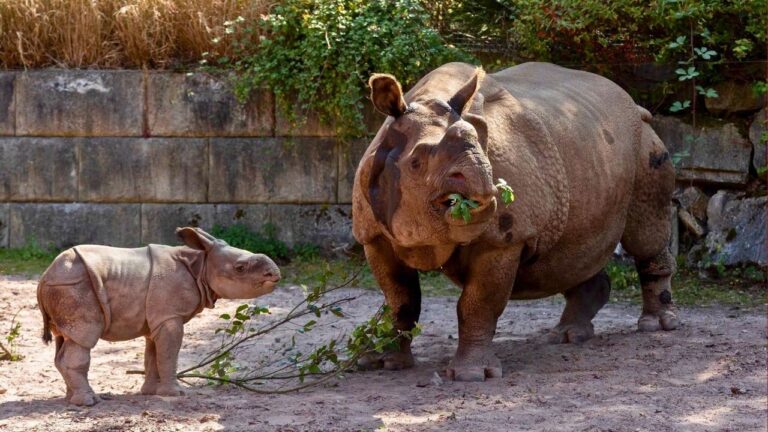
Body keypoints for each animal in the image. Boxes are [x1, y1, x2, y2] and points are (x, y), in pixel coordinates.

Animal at [37, 227, 281, 405]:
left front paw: (151, 393)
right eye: (240, 268)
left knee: (66, 338)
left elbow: (153, 355)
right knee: (84, 338)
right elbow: (169, 354)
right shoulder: (169, 317)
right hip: (73, 285)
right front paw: (175, 394)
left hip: (67, 285)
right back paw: (89, 402)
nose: (275, 274)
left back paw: (72, 399)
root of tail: (44, 276)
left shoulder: (157, 318)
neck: (201, 265)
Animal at [352, 62, 678, 381]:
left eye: (482, 152)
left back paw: (655, 326)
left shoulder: (503, 239)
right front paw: (385, 363)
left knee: (645, 235)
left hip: (643, 143)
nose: (483, 179)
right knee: (574, 253)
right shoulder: (374, 236)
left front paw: (472, 375)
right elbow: (400, 300)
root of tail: (633, 104)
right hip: (588, 149)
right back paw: (568, 336)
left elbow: (477, 303)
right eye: (416, 162)